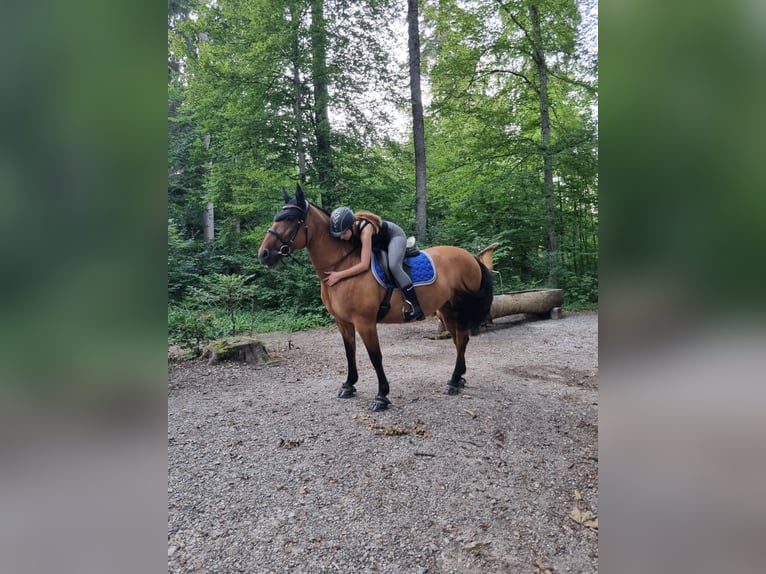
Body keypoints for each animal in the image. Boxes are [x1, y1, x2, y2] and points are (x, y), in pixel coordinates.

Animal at [260, 187, 496, 412]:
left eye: (290, 219)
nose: (263, 254)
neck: (342, 267)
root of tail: (471, 257)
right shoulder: (343, 322)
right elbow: (350, 353)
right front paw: (349, 385)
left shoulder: (364, 322)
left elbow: (375, 357)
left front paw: (381, 396)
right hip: (446, 310)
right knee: (458, 340)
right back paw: (458, 379)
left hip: (458, 309)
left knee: (461, 340)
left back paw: (454, 381)